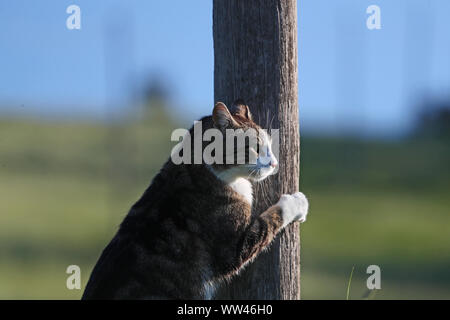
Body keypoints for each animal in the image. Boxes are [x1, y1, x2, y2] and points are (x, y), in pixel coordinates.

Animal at [81, 99, 310, 300]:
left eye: (269, 145)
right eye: (254, 146)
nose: (274, 163)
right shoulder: (233, 247)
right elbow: (270, 219)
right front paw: (297, 202)